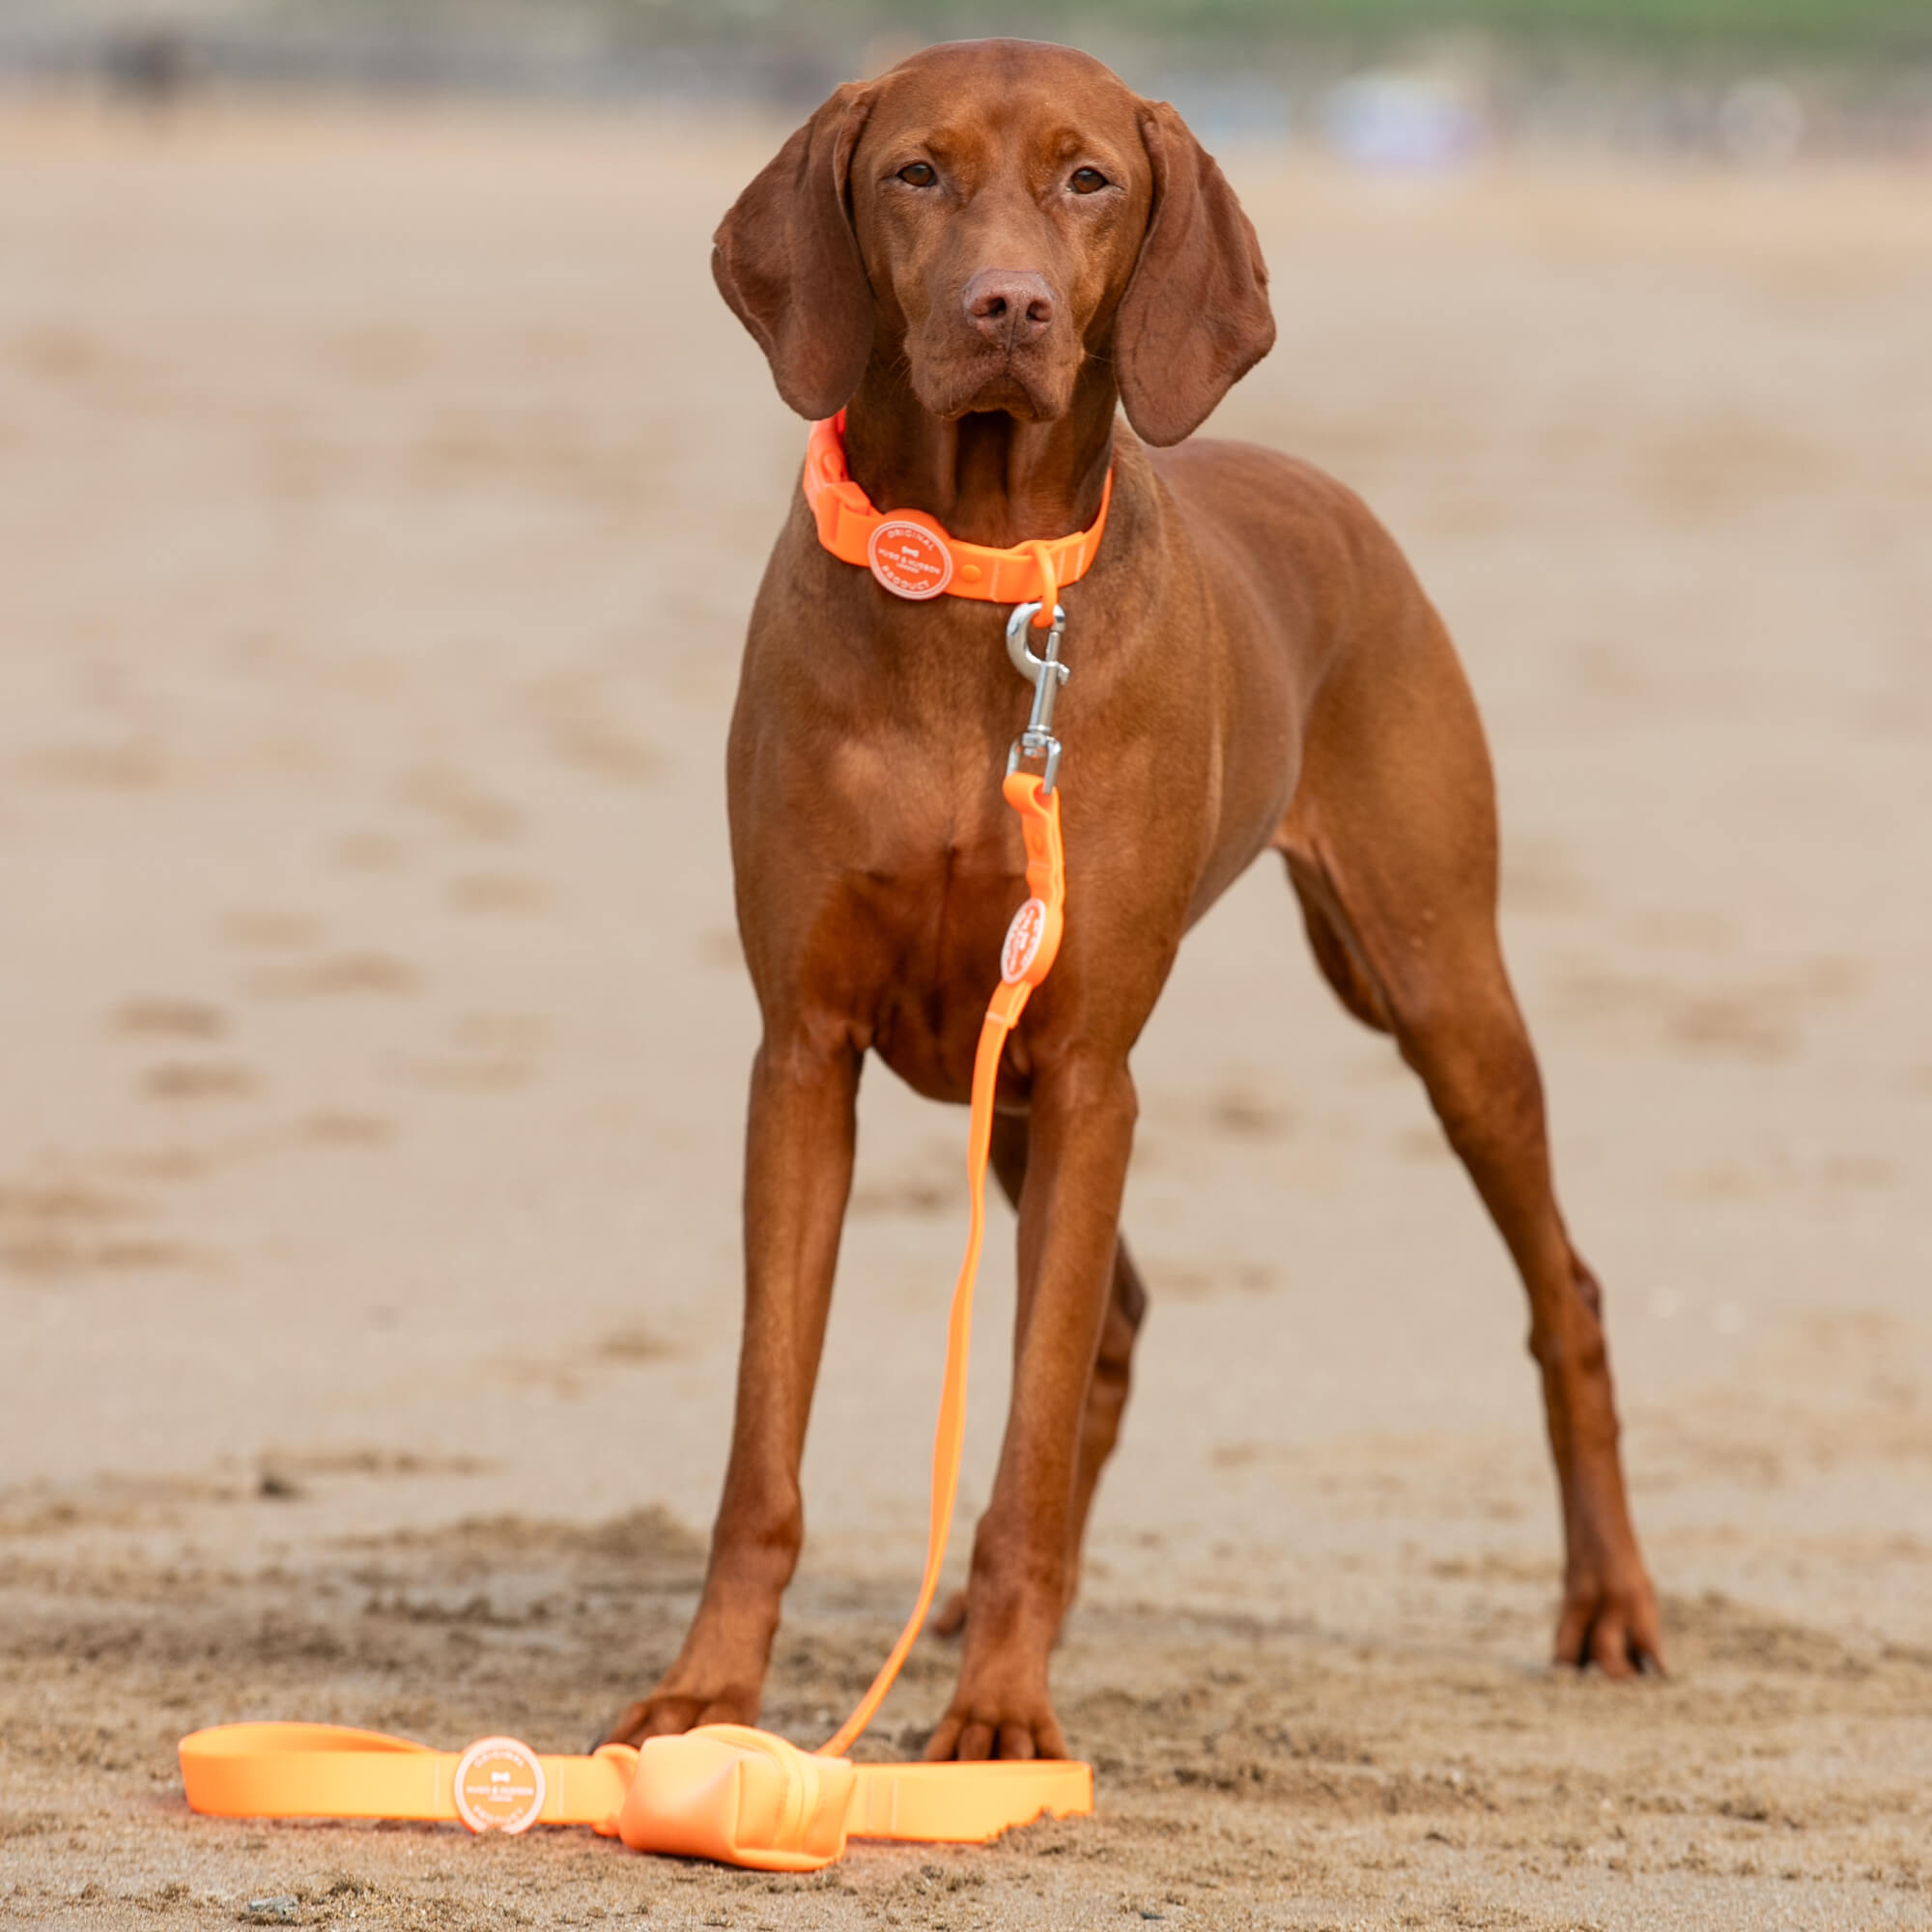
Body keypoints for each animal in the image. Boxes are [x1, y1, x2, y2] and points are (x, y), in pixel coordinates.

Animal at [599, 42, 1662, 1770]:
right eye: (917, 172)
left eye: (1089, 178)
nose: (1010, 309)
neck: (978, 582)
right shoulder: (808, 1052)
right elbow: (768, 1444)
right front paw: (710, 1696)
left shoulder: (1092, 1066)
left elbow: (1022, 1443)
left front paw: (1001, 1717)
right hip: (1011, 1090)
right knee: (1114, 1324)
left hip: (1431, 986)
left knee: (1557, 1285)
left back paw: (1612, 1604)